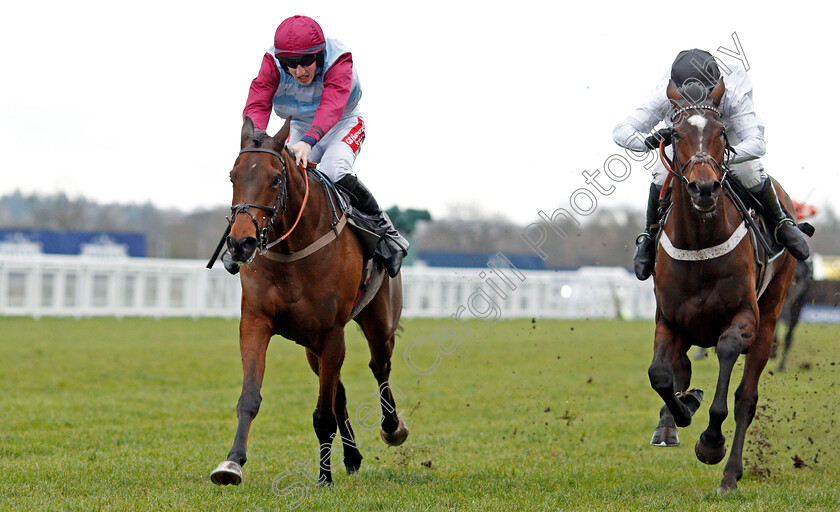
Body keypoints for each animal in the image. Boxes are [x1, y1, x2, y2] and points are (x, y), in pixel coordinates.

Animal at [209, 117, 406, 488]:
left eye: (275, 178)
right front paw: (232, 463)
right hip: (311, 346)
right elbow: (250, 398)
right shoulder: (256, 322)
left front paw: (324, 478)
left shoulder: (331, 331)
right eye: (232, 176)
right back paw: (353, 456)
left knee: (380, 366)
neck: (292, 250)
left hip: (378, 322)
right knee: (340, 391)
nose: (241, 243)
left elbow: (324, 414)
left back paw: (392, 428)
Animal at [648, 79, 796, 492]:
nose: (704, 188)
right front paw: (681, 410)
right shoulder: (669, 320)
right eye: (675, 134)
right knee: (679, 369)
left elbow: (728, 359)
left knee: (747, 397)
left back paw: (730, 473)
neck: (700, 243)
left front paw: (711, 442)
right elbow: (661, 374)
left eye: (721, 132)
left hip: (772, 312)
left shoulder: (745, 316)